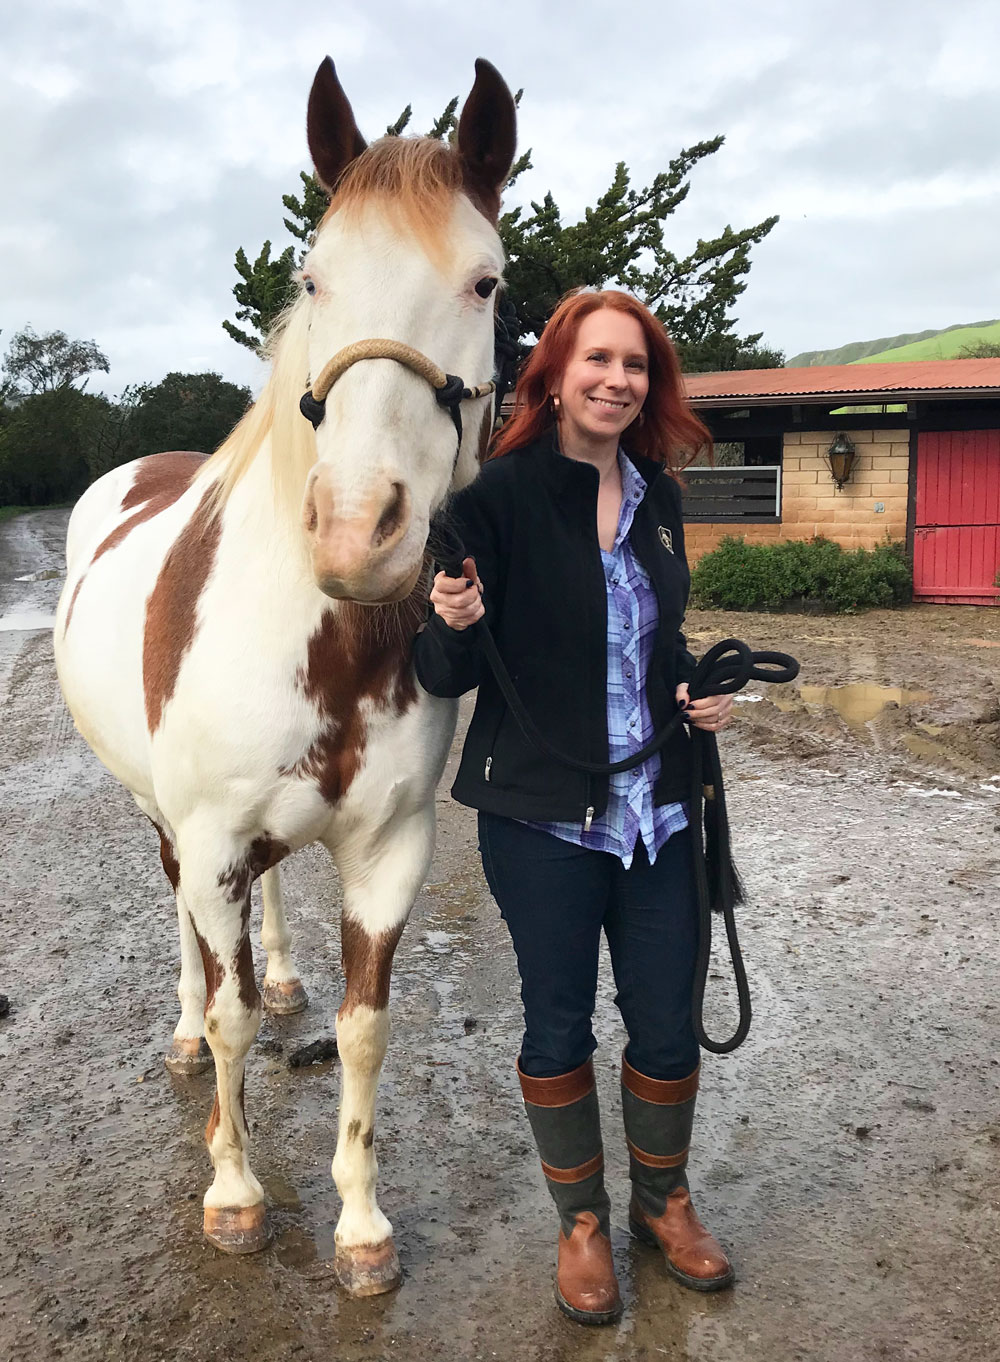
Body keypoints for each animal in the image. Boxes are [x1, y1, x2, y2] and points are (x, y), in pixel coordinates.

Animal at [53, 55, 517, 1296]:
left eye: (486, 283)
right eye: (313, 275)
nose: (358, 533)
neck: (326, 641)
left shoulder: (387, 853)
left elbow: (362, 1028)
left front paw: (360, 1223)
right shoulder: (211, 835)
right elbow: (229, 1026)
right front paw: (233, 1189)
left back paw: (282, 973)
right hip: (164, 819)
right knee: (185, 927)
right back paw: (184, 1033)